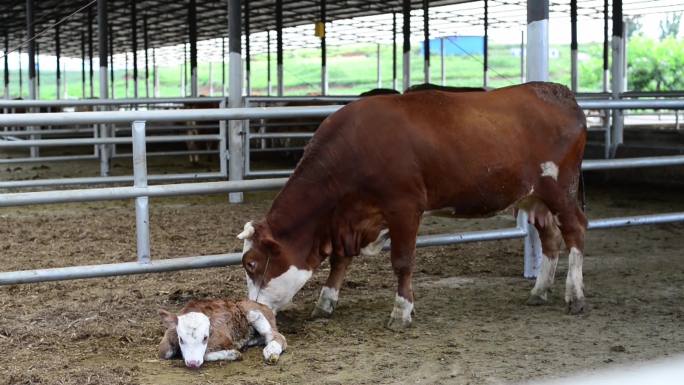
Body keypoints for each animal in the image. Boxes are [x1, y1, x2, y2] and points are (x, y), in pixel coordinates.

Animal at [159, 298, 288, 368]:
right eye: (181, 339)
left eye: (205, 338)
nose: (192, 363)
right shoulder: (167, 341)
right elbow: (164, 352)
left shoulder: (227, 340)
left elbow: (205, 354)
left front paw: (233, 354)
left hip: (253, 313)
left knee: (278, 336)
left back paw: (271, 352)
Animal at [236, 82, 588, 328]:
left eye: (251, 264)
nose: (251, 313)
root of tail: (559, 93)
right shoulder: (350, 219)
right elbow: (340, 260)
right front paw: (325, 302)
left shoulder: (403, 208)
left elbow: (402, 261)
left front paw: (401, 311)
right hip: (535, 198)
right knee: (550, 239)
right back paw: (539, 291)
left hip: (560, 188)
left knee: (576, 231)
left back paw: (575, 294)